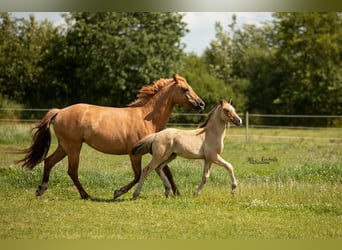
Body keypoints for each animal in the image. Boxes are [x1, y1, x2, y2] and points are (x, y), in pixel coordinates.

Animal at [17, 74, 204, 199]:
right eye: (185, 89)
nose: (201, 104)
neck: (146, 117)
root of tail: (59, 112)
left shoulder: (156, 150)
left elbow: (166, 171)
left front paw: (177, 193)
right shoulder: (135, 154)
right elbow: (139, 175)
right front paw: (118, 192)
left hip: (64, 146)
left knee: (49, 161)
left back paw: (41, 189)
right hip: (73, 147)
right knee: (72, 171)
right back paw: (86, 195)